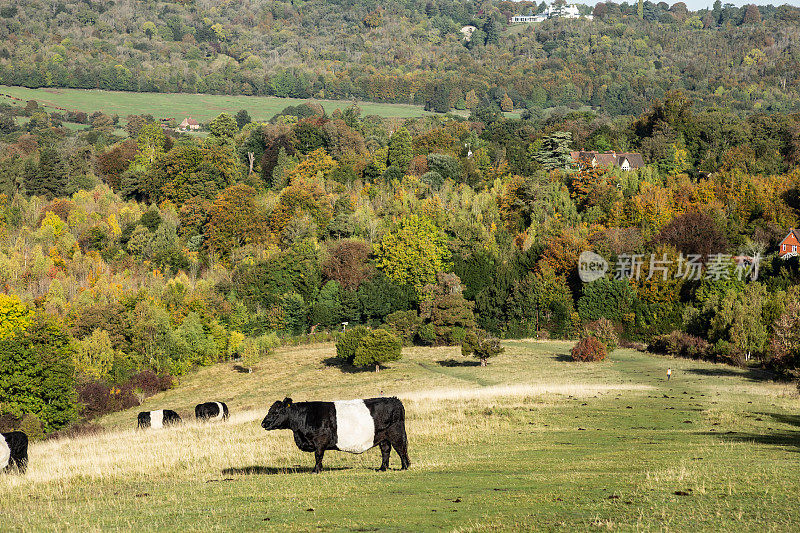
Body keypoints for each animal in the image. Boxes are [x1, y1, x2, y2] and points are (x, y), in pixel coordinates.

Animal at [262, 394, 412, 474]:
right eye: (270, 410)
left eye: (276, 412)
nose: (263, 423)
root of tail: (394, 399)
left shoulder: (320, 441)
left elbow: (318, 456)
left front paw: (316, 470)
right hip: (383, 437)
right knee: (386, 450)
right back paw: (382, 468)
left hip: (396, 433)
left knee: (401, 449)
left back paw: (404, 467)